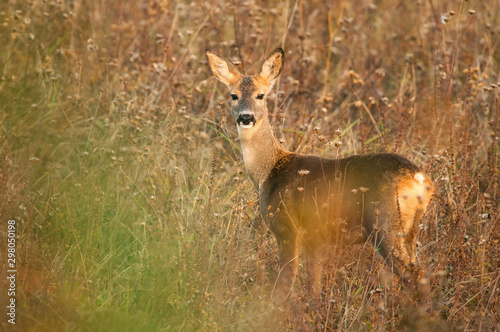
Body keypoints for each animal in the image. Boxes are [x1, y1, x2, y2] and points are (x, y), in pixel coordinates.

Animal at [205, 47, 432, 304]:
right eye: (233, 95)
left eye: (260, 95)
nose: (246, 117)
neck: (269, 171)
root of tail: (418, 178)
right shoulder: (315, 238)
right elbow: (313, 284)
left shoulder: (287, 228)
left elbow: (286, 282)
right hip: (410, 230)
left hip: (385, 225)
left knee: (416, 276)